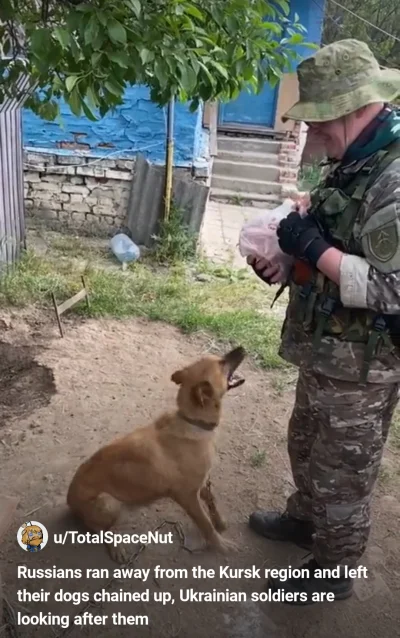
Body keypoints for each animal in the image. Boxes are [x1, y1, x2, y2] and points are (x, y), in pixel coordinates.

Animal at [67, 348, 245, 564]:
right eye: (221, 363)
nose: (242, 348)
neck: (192, 422)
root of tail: (69, 500)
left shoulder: (201, 482)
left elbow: (211, 500)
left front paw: (219, 521)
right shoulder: (186, 496)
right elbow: (205, 525)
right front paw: (221, 545)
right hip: (109, 502)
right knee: (99, 529)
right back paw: (116, 546)